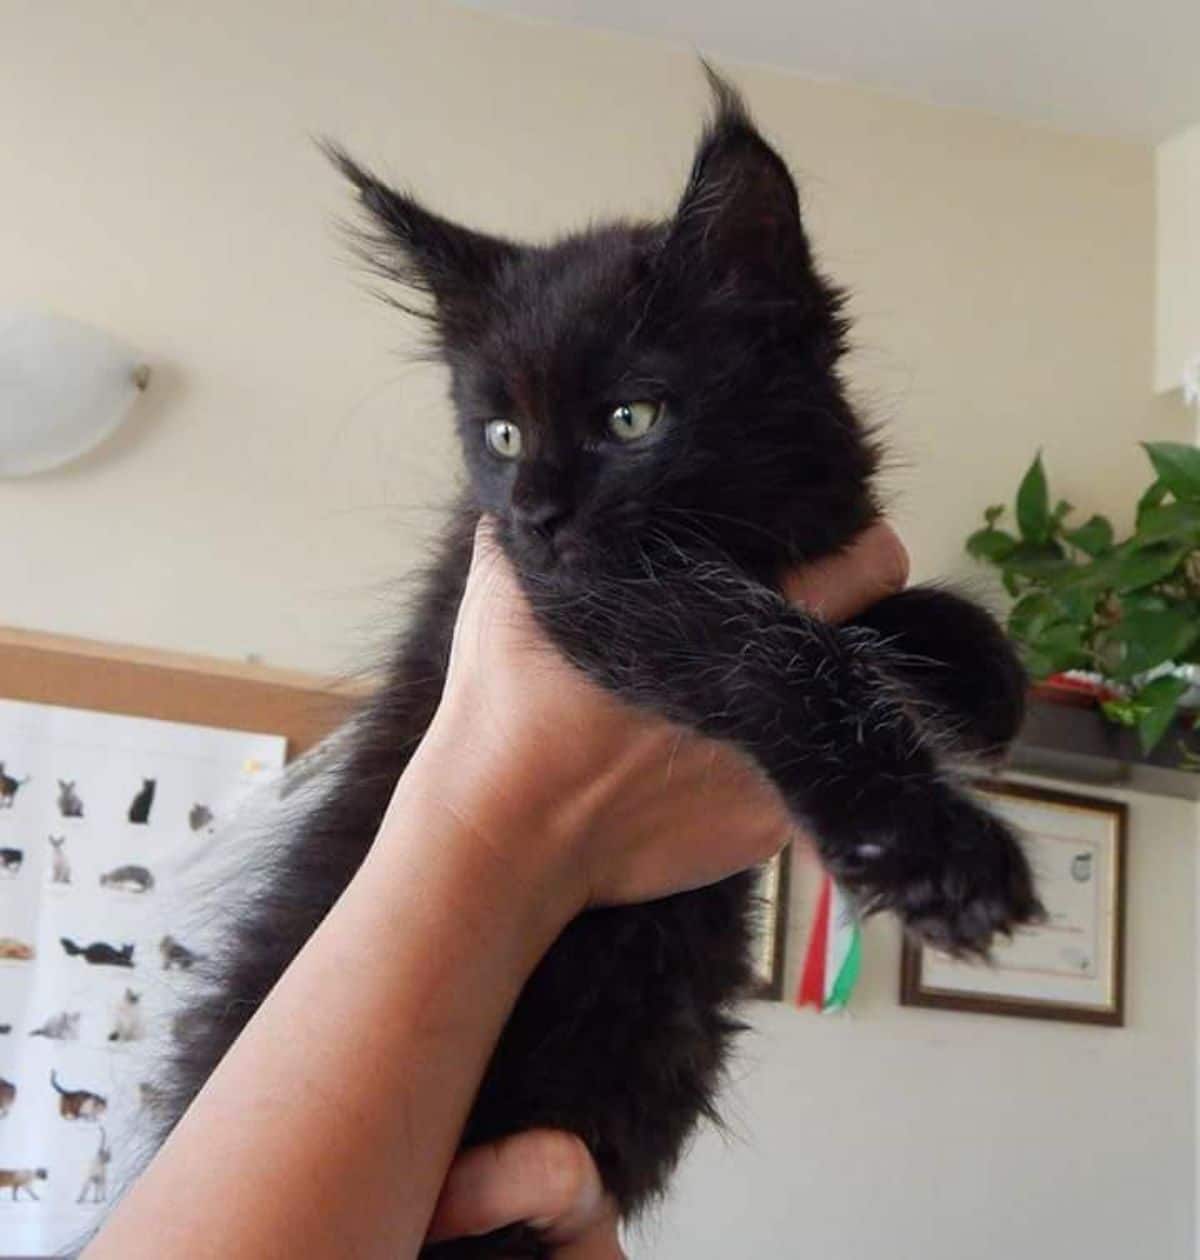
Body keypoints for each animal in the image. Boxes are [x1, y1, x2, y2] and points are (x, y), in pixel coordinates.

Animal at [147, 71, 1033, 1260]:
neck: (754, 536)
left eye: (631, 416)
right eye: (503, 434)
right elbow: (775, 648)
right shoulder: (576, 598)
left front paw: (982, 668)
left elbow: (877, 617)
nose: (537, 512)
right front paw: (929, 844)